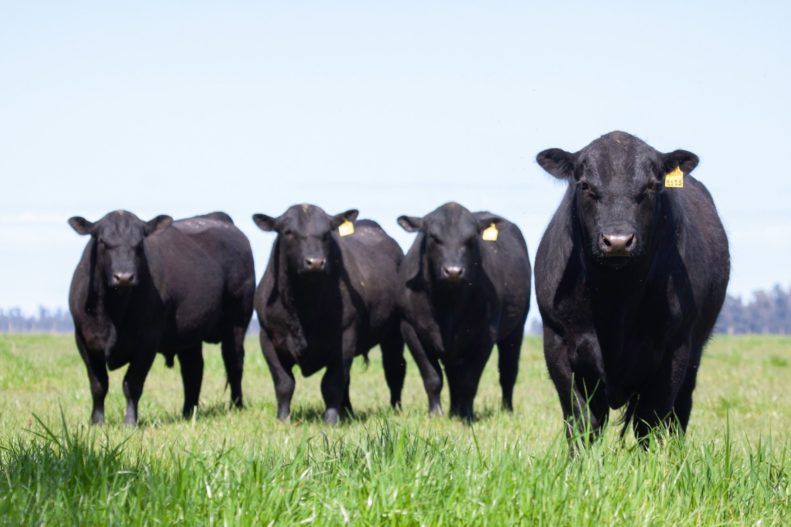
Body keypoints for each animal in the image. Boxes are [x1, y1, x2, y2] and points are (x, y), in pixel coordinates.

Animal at [68, 210, 255, 424]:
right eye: (102, 241)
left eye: (139, 243)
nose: (124, 277)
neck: (113, 312)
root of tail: (219, 218)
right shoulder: (84, 340)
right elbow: (98, 384)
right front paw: (96, 421)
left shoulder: (148, 340)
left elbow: (131, 384)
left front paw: (130, 422)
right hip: (189, 333)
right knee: (193, 370)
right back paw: (188, 412)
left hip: (237, 321)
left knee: (234, 363)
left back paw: (236, 406)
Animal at [254, 203, 406, 424]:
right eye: (288, 232)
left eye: (326, 233)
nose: (315, 262)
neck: (303, 307)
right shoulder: (267, 338)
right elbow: (283, 383)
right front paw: (282, 419)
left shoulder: (345, 338)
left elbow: (331, 384)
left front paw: (331, 420)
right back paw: (348, 411)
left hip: (394, 332)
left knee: (395, 368)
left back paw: (395, 409)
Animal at [396, 202, 532, 420]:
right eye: (434, 237)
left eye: (471, 238)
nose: (453, 271)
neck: (448, 305)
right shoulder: (410, 329)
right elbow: (432, 377)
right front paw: (436, 413)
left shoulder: (485, 335)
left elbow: (469, 381)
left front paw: (467, 415)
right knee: (453, 376)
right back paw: (453, 410)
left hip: (517, 328)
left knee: (508, 372)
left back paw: (506, 410)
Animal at [536, 131, 732, 442]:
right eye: (585, 185)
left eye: (651, 186)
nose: (617, 241)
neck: (616, 296)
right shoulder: (557, 343)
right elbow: (582, 421)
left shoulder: (673, 350)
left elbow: (650, 422)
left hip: (694, 354)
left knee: (680, 411)